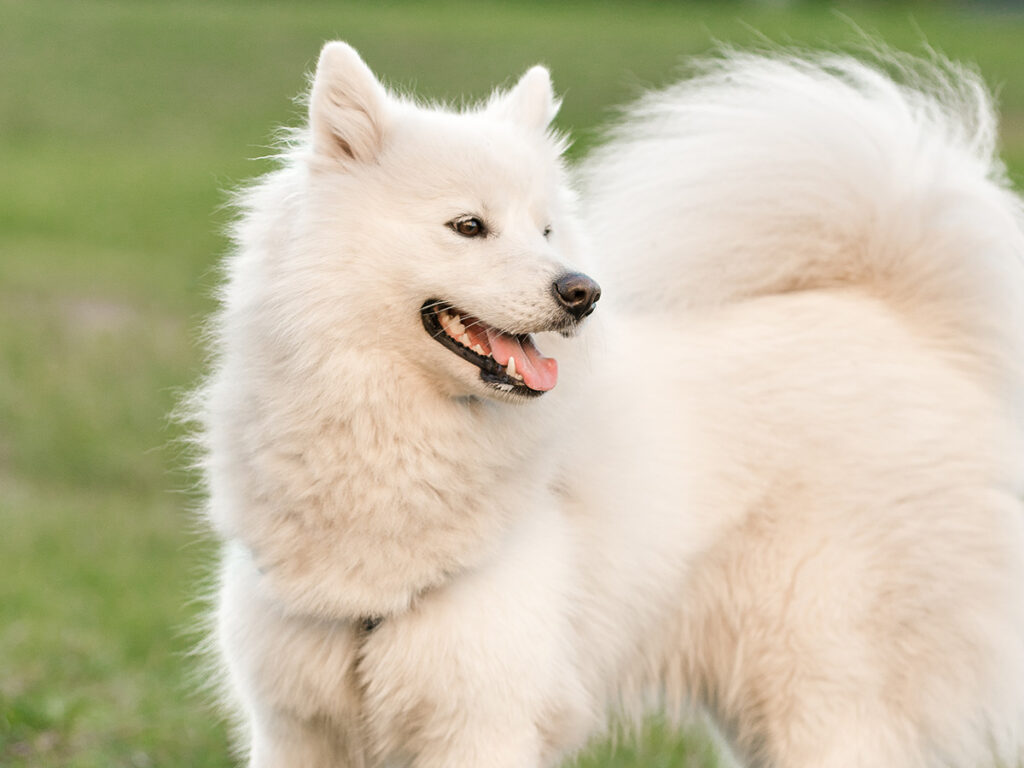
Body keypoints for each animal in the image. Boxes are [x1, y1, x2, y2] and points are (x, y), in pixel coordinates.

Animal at [193, 43, 1024, 768]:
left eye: (546, 228)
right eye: (469, 226)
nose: (582, 291)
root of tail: (898, 316)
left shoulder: (481, 717)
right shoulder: (296, 728)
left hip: (818, 686)